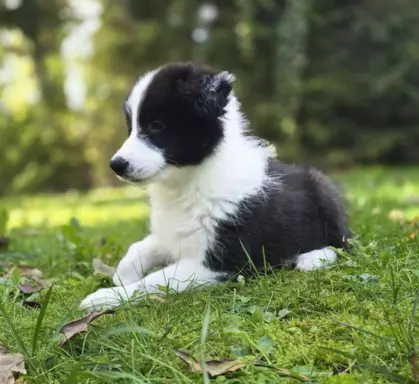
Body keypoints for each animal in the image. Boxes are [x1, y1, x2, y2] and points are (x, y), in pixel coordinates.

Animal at [79, 61, 352, 310]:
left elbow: (153, 281)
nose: (116, 165)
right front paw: (121, 277)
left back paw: (312, 258)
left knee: (344, 243)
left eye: (157, 125)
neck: (185, 183)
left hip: (325, 191)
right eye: (131, 128)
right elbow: (137, 250)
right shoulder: (174, 234)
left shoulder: (220, 263)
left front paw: (104, 298)